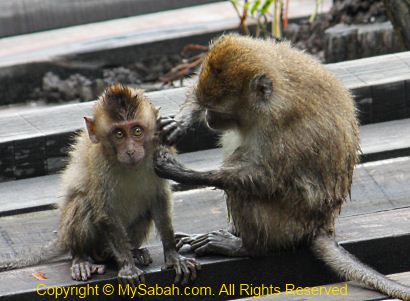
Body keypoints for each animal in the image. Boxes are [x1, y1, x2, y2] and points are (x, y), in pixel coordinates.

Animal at [0, 84, 199, 284]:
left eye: (137, 131)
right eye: (119, 134)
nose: (130, 151)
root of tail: (63, 236)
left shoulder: (160, 151)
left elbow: (159, 201)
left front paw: (173, 256)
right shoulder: (98, 161)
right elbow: (105, 211)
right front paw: (127, 266)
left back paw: (133, 253)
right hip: (76, 236)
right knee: (83, 203)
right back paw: (83, 258)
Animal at [155, 34, 410, 298]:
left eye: (217, 110)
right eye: (205, 105)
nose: (208, 118)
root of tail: (321, 225)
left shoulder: (282, 125)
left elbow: (266, 179)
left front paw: (186, 173)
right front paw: (178, 124)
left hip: (287, 227)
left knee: (243, 191)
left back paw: (247, 247)